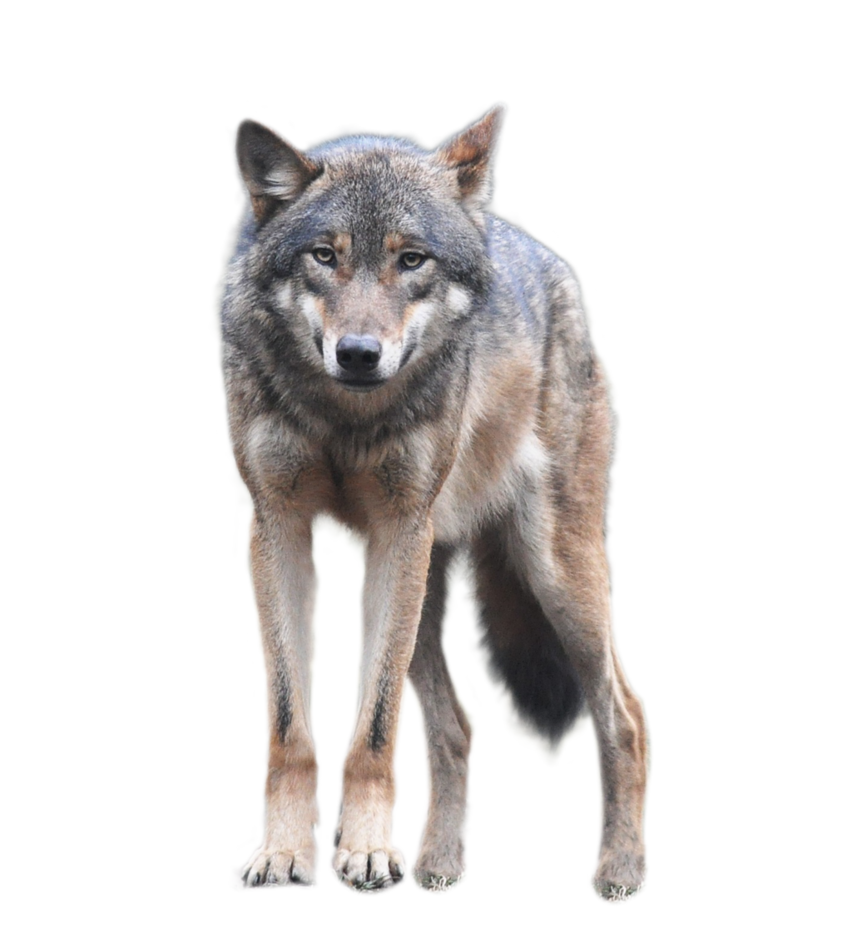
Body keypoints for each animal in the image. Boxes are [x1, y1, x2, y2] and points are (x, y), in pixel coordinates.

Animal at [218, 102, 650, 904]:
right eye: (324, 256)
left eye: (412, 260)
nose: (359, 353)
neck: (346, 418)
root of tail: (544, 261)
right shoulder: (278, 527)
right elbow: (291, 729)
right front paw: (285, 854)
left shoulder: (397, 531)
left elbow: (374, 731)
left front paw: (363, 854)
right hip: (420, 588)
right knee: (454, 732)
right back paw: (436, 866)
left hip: (548, 570)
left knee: (624, 714)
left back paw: (619, 869)